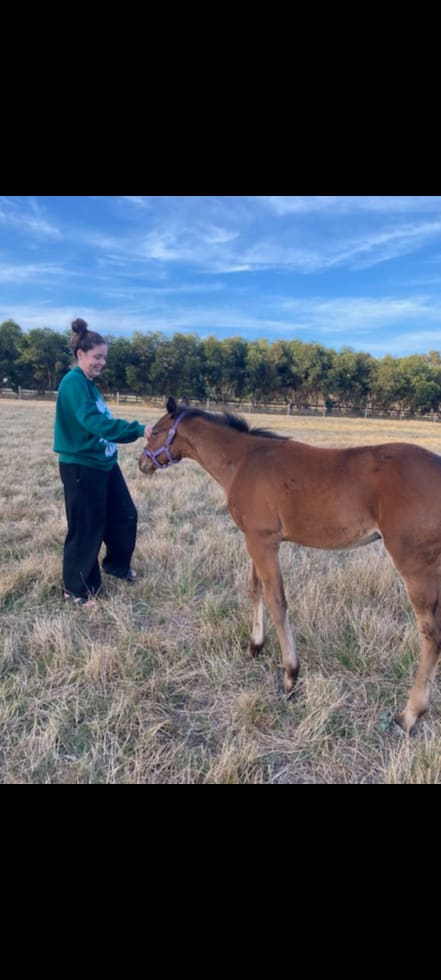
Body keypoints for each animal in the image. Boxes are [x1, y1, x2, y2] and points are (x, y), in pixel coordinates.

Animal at [138, 394, 441, 732]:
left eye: (154, 432)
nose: (142, 463)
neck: (243, 461)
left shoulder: (263, 541)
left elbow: (276, 600)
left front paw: (290, 676)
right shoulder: (255, 538)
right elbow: (255, 588)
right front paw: (255, 645)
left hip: (415, 565)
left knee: (430, 634)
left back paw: (410, 713)